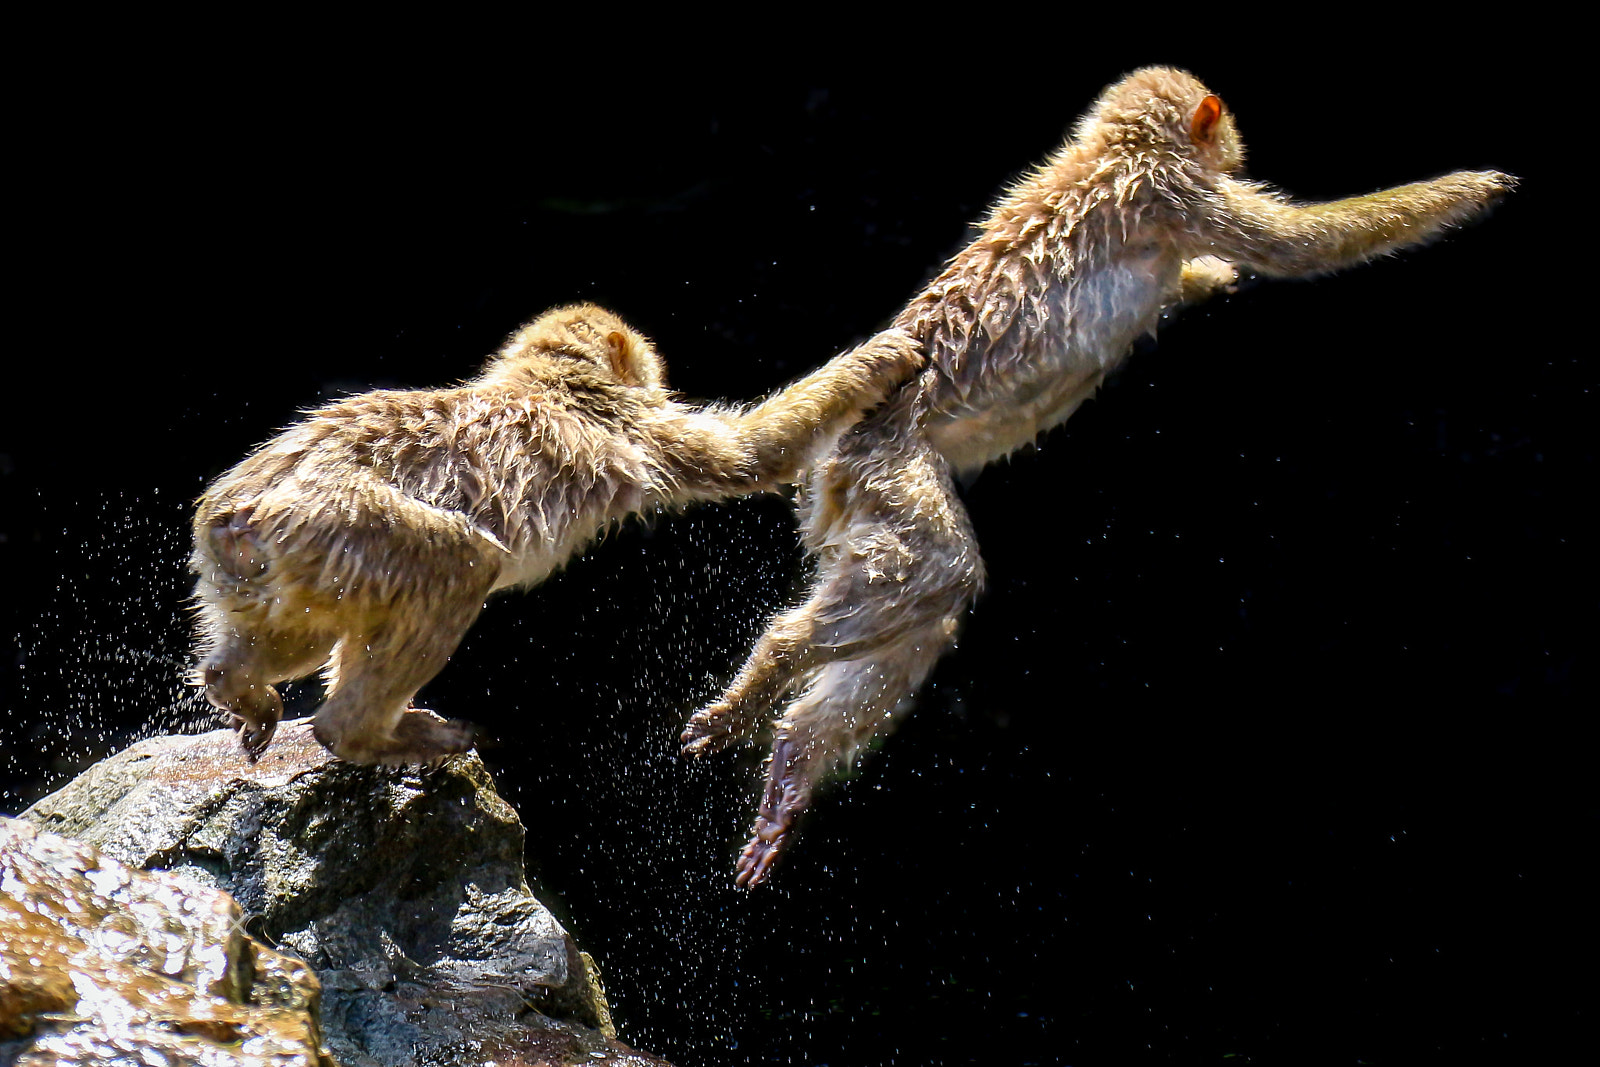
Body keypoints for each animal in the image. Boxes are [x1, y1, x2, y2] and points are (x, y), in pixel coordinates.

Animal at [191, 303, 923, 765]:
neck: (556, 376)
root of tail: (235, 510)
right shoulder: (633, 425)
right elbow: (753, 455)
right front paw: (878, 361)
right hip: (337, 526)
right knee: (460, 563)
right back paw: (360, 735)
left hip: (281, 566)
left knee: (293, 632)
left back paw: (237, 685)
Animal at [680, 67, 1515, 886]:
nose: (1236, 147)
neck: (1119, 152)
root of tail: (845, 437)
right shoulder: (1176, 190)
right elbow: (1301, 244)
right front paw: (1466, 189)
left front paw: (1208, 279)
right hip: (886, 462)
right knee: (940, 571)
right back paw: (775, 663)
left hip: (850, 494)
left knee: (923, 607)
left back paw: (792, 766)